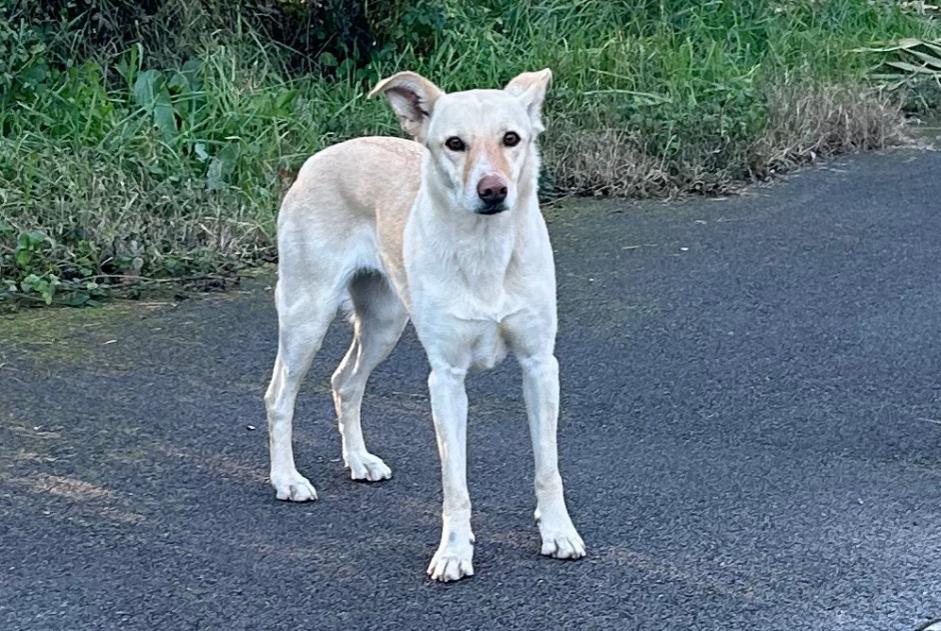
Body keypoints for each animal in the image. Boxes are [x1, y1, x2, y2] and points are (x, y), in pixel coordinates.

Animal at [264, 70, 584, 584]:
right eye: (454, 143)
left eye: (511, 139)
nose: (493, 190)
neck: (485, 252)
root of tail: (319, 159)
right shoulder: (446, 381)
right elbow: (455, 483)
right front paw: (454, 551)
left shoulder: (540, 366)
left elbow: (547, 466)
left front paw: (558, 532)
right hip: (305, 315)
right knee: (279, 397)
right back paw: (287, 479)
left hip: (384, 322)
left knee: (345, 382)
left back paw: (359, 460)